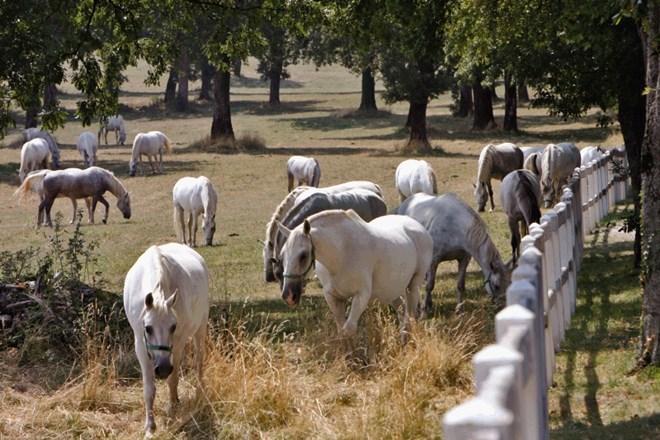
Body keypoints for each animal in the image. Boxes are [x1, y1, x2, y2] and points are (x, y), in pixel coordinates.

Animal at [122, 242, 209, 438]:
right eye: (148, 328)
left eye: (173, 326)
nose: (162, 369)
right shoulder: (140, 345)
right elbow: (149, 389)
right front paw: (150, 427)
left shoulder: (178, 342)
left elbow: (173, 378)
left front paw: (172, 407)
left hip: (201, 327)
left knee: (199, 359)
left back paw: (199, 392)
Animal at [278, 208, 436, 356]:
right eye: (282, 255)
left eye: (303, 255)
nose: (288, 296)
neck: (342, 253)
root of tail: (418, 227)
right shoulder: (333, 298)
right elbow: (342, 331)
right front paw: (349, 358)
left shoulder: (361, 296)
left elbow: (349, 330)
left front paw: (357, 359)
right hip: (393, 292)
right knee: (402, 313)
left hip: (413, 286)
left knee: (410, 317)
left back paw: (407, 344)